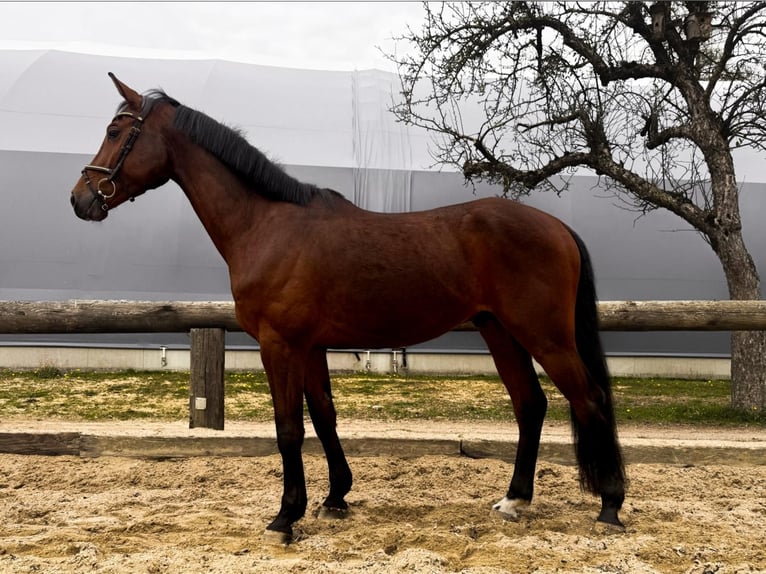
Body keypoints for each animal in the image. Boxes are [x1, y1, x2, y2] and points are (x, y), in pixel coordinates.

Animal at [70, 73, 626, 542]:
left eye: (117, 131)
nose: (80, 198)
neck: (266, 225)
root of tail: (557, 227)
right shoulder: (310, 347)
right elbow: (324, 417)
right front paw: (335, 496)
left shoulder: (279, 346)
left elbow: (289, 428)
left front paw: (285, 516)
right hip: (500, 331)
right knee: (530, 404)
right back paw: (514, 500)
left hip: (545, 336)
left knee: (590, 399)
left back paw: (610, 506)